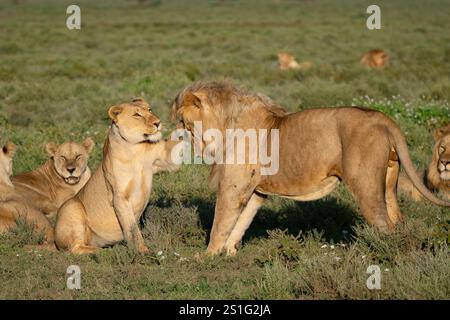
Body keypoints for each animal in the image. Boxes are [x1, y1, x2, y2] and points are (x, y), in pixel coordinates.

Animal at [55, 99, 181, 254]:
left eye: (150, 110)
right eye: (137, 115)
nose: (157, 122)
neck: (134, 150)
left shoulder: (166, 160)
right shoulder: (119, 197)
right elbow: (132, 228)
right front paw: (142, 251)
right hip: (71, 207)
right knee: (74, 248)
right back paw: (105, 251)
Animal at [171, 81, 450, 256]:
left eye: (185, 123)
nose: (184, 139)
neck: (226, 124)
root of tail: (383, 117)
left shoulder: (233, 187)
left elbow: (220, 223)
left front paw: (207, 256)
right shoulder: (256, 191)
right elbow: (241, 222)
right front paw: (228, 252)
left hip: (366, 185)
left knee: (384, 225)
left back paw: (386, 259)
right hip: (389, 184)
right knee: (398, 220)